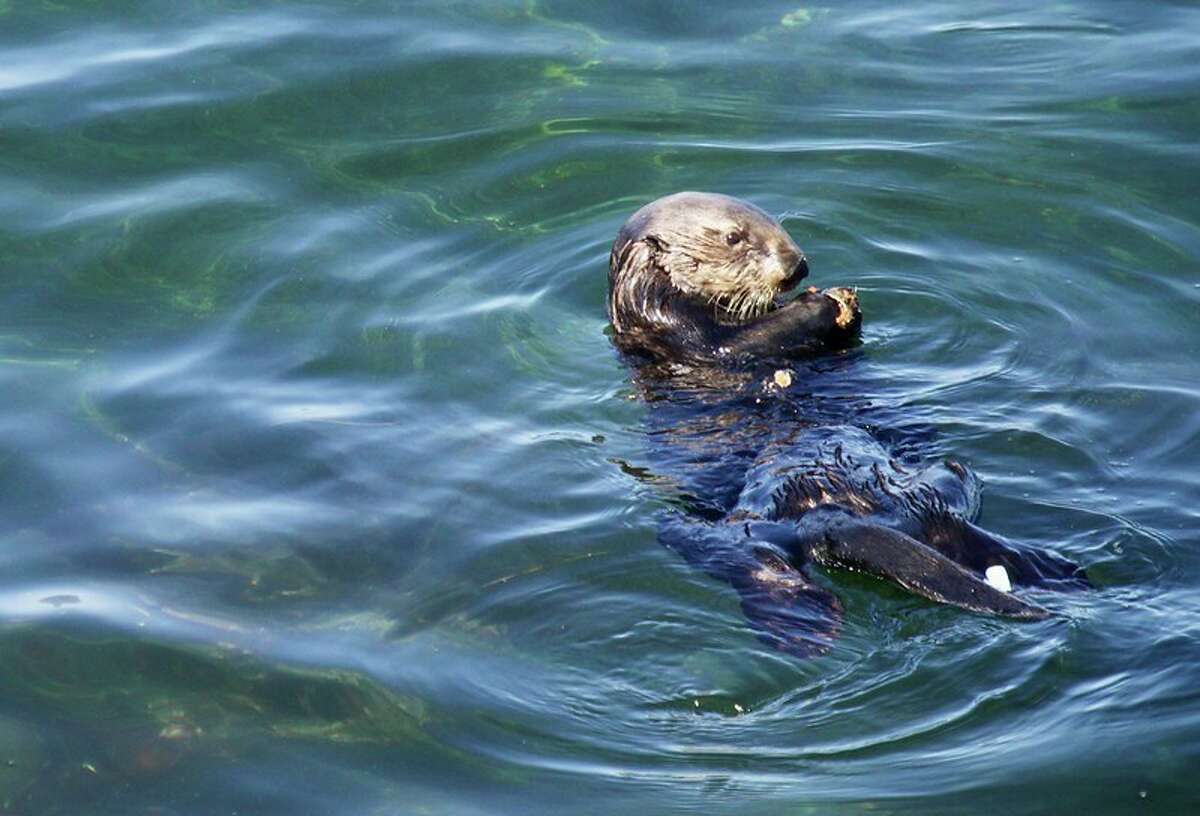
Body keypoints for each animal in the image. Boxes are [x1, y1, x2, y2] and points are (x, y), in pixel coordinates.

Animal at [609, 192, 1088, 657]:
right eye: (734, 238)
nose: (797, 266)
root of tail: (831, 511)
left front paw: (845, 305)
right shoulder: (681, 334)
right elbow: (736, 342)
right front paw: (822, 304)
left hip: (942, 482)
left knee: (952, 527)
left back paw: (1050, 570)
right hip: (713, 532)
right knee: (758, 564)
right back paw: (802, 624)